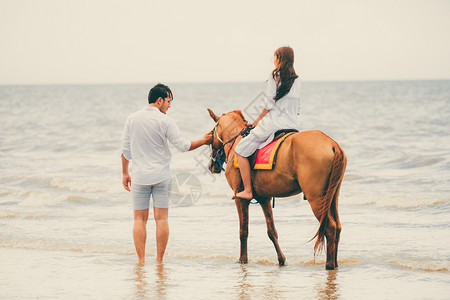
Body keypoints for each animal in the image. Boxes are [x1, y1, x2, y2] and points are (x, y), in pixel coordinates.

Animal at [207, 109, 348, 270]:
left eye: (211, 134)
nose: (212, 165)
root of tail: (332, 144)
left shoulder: (240, 198)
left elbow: (243, 231)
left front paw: (243, 259)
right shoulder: (264, 199)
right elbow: (272, 231)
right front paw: (281, 260)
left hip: (316, 199)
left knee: (330, 227)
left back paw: (329, 265)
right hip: (331, 196)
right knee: (337, 227)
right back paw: (335, 264)